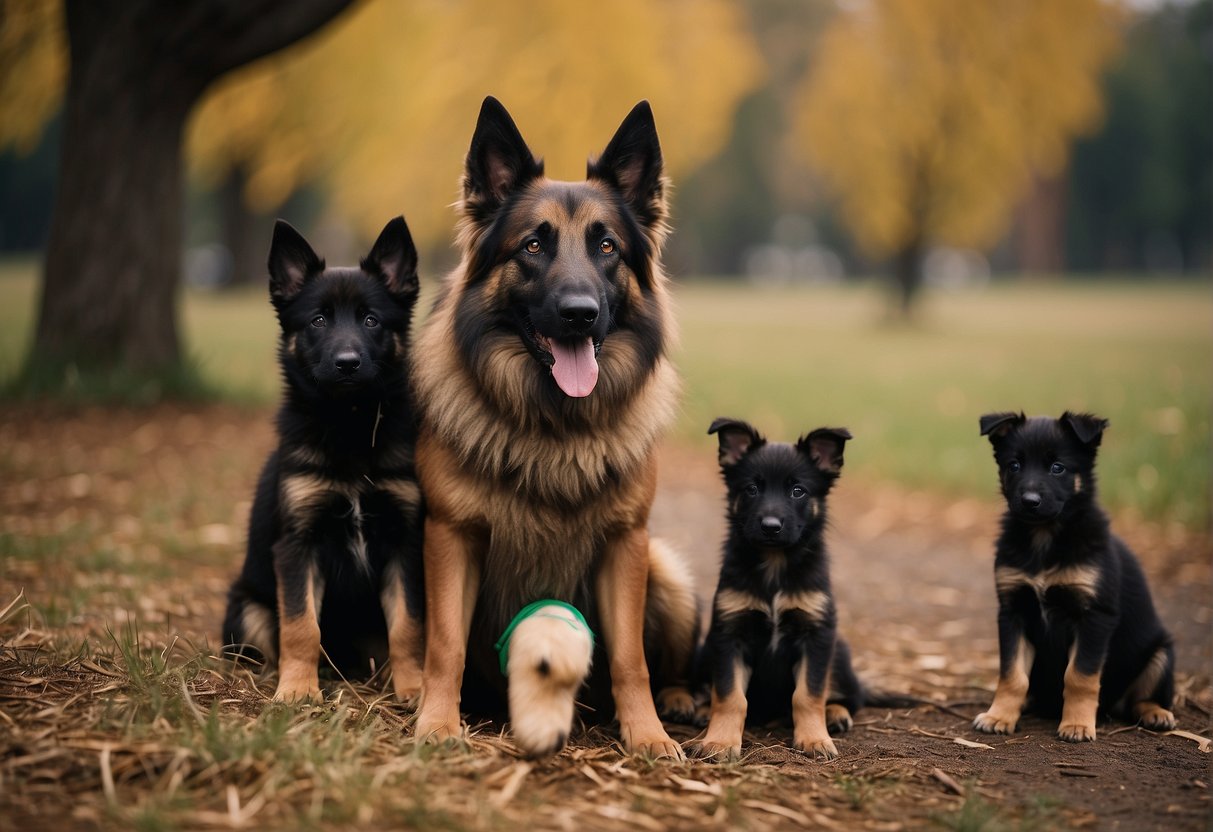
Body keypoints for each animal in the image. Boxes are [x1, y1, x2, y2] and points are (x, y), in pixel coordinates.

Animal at [407, 97, 698, 761]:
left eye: (607, 246)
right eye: (534, 245)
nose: (579, 314)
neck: (553, 427)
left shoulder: (625, 543)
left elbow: (631, 659)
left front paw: (647, 732)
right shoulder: (451, 537)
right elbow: (445, 645)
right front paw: (437, 721)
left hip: (667, 574)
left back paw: (678, 700)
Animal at [693, 417, 863, 761]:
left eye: (798, 491)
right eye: (752, 489)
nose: (770, 526)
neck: (774, 566)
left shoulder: (817, 634)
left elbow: (809, 694)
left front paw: (814, 738)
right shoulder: (728, 634)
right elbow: (729, 696)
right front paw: (720, 741)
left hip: (839, 650)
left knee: (849, 698)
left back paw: (835, 713)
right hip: (707, 648)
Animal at [975, 414, 1174, 747]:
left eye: (1058, 467)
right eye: (1014, 465)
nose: (1029, 501)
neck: (1044, 537)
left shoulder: (1094, 616)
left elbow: (1080, 676)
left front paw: (1077, 724)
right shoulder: (1014, 612)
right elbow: (1012, 675)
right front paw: (999, 716)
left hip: (1161, 654)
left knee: (1139, 699)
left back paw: (1155, 712)